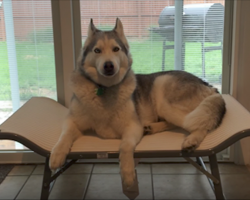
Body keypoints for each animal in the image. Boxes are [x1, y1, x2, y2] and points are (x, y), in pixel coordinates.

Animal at [49, 18, 226, 188]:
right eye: (97, 50)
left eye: (116, 49)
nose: (108, 65)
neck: (104, 90)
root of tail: (208, 85)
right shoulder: (72, 121)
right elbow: (64, 136)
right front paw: (57, 154)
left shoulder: (132, 126)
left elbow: (125, 146)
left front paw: (127, 175)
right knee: (175, 123)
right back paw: (151, 128)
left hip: (164, 91)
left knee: (199, 124)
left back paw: (191, 140)